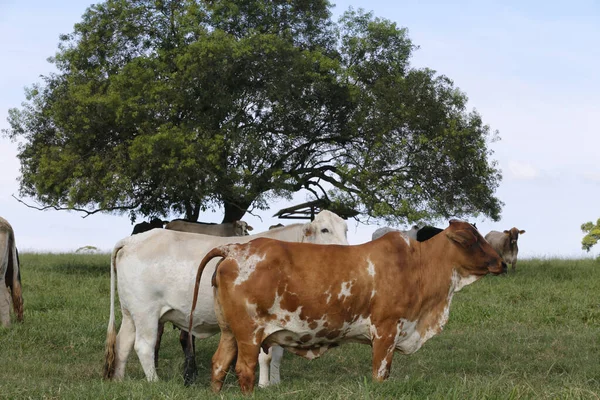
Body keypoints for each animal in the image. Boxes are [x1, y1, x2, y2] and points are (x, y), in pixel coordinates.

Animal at [102, 209, 346, 384]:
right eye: (325, 229)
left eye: (346, 228)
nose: (346, 251)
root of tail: (133, 240)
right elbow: (264, 355)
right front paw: (264, 385)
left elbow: (276, 354)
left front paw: (275, 384)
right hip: (147, 313)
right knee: (144, 346)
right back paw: (155, 382)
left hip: (130, 313)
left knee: (123, 344)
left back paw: (119, 380)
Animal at [189, 219, 506, 394]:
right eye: (473, 240)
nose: (502, 263)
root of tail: (234, 249)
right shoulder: (386, 331)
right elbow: (380, 374)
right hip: (249, 334)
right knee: (244, 370)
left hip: (229, 332)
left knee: (219, 364)